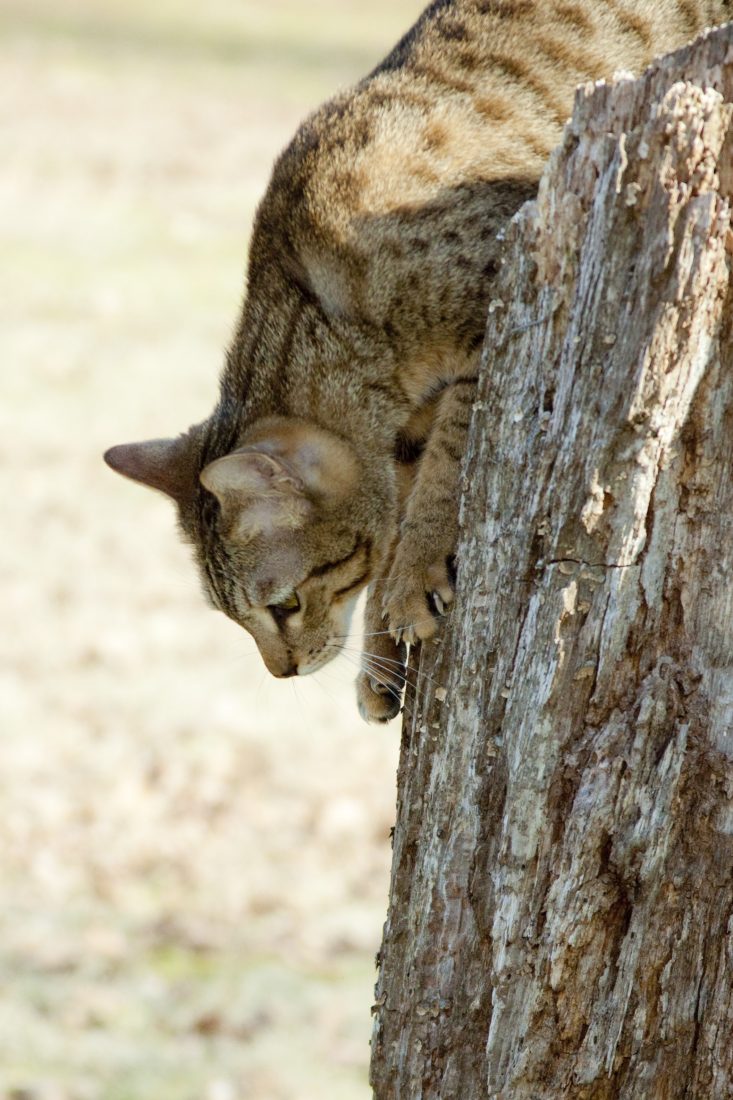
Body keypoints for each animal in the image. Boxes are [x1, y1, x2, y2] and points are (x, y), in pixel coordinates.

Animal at [105, 0, 726, 726]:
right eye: (235, 618)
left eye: (284, 604)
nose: (282, 673)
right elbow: (395, 520)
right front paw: (381, 645)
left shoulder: (491, 306)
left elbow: (442, 473)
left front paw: (409, 580)